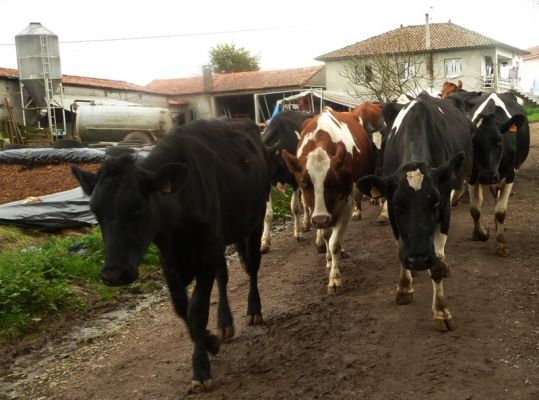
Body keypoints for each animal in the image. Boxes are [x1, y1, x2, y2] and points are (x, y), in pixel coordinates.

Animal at [71, 118, 272, 390]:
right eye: (95, 211)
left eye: (137, 207)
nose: (113, 274)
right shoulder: (169, 259)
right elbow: (181, 308)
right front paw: (210, 341)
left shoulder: (207, 249)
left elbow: (197, 310)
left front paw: (201, 369)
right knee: (223, 276)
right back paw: (224, 324)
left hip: (255, 220)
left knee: (252, 265)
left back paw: (253, 309)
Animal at [262, 109, 316, 253]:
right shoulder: (266, 185)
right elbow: (267, 214)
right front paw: (264, 242)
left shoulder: (295, 180)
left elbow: (295, 207)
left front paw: (298, 233)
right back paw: (306, 224)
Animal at [282, 106, 376, 294]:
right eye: (304, 182)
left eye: (333, 182)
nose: (321, 219)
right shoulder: (317, 210)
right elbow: (327, 236)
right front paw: (329, 259)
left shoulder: (345, 204)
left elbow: (335, 243)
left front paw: (335, 279)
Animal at [356, 93, 474, 332]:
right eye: (398, 204)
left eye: (435, 202)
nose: (418, 258)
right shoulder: (393, 214)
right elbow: (400, 250)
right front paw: (404, 288)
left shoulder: (445, 205)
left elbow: (436, 264)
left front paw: (441, 311)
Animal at [454, 92, 528, 255]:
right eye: (474, 143)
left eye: (499, 141)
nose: (487, 176)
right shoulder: (472, 176)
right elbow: (475, 210)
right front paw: (480, 234)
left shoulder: (510, 175)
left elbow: (500, 211)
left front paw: (501, 243)